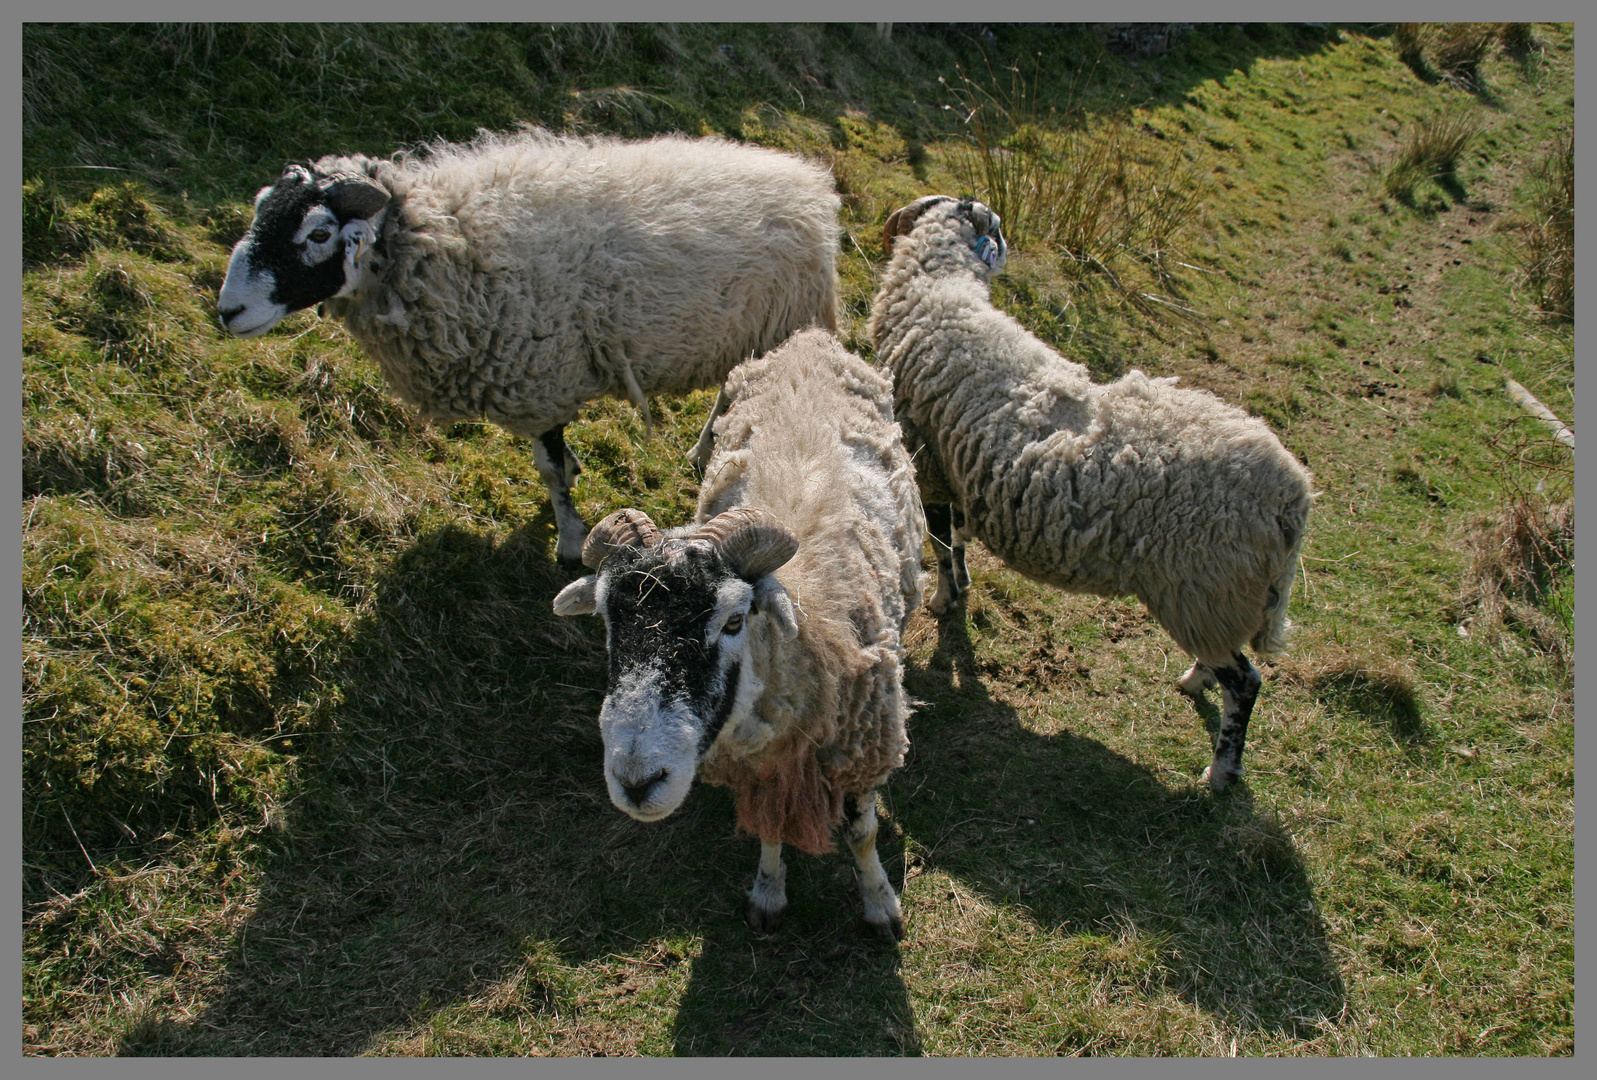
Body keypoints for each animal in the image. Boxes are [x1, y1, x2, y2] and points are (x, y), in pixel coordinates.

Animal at [217, 125, 843, 562]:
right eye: (260, 208)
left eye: (319, 233)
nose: (228, 311)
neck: (447, 242)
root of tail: (809, 185)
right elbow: (557, 464)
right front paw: (573, 474)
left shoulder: (540, 378)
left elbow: (547, 468)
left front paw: (567, 535)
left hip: (782, 323)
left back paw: (706, 446)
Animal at [549, 329, 926, 939]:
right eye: (607, 620)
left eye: (732, 620)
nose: (637, 782)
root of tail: (809, 339)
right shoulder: (758, 763)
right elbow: (769, 829)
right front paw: (768, 894)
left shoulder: (863, 747)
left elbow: (862, 833)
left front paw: (879, 903)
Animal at [875, 194, 1309, 789]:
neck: (938, 294)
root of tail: (1293, 495)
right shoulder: (957, 469)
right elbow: (959, 540)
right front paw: (960, 589)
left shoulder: (930, 462)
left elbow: (941, 546)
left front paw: (944, 600)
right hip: (1217, 596)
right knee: (1229, 658)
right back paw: (1194, 680)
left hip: (1202, 586)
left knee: (1246, 682)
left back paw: (1220, 770)